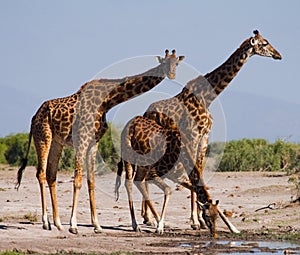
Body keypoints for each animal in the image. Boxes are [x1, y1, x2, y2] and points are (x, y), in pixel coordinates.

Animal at [17, 48, 185, 234]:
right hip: (43, 137)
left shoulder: (93, 142)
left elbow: (91, 181)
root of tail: (34, 117)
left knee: (51, 175)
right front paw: (74, 225)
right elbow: (77, 180)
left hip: (57, 142)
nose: (172, 74)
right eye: (165, 62)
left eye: (177, 63)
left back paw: (58, 223)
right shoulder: (82, 139)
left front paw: (97, 225)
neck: (107, 101)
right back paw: (46, 222)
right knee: (40, 173)